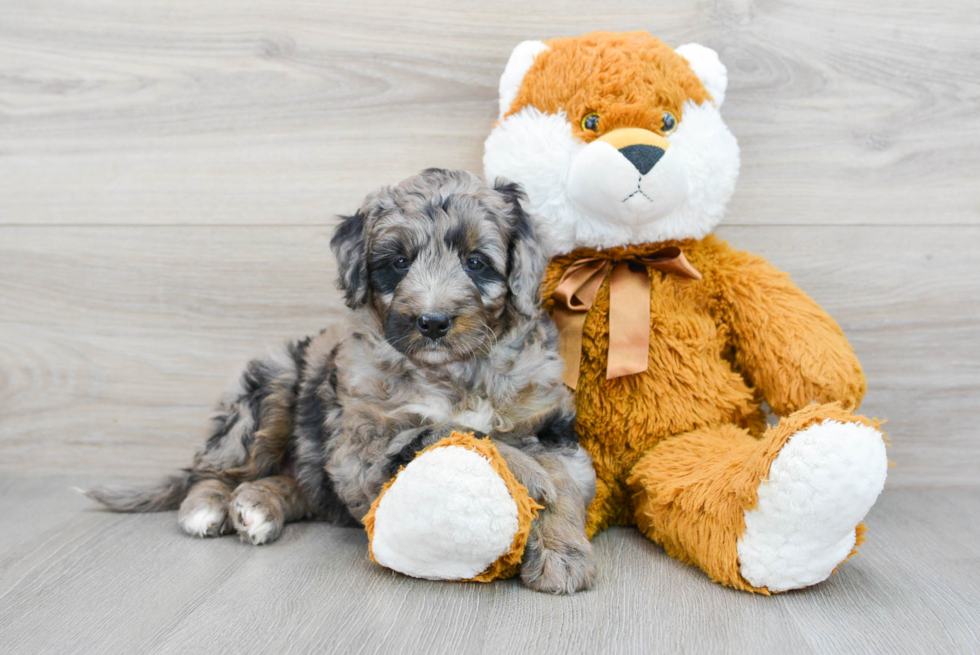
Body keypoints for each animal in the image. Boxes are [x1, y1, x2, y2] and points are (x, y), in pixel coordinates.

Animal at [90, 168, 596, 596]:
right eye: (398, 262)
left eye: (476, 262)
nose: (433, 322)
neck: (453, 372)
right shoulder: (362, 446)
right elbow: (452, 430)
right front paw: (528, 473)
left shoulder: (551, 428)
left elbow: (565, 484)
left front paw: (564, 556)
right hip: (270, 387)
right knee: (212, 468)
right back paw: (209, 506)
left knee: (301, 487)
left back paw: (258, 505)